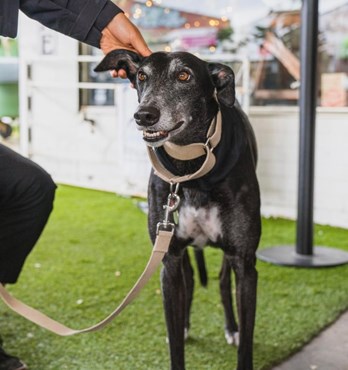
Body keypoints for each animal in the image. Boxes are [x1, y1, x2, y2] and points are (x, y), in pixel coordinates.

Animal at [96, 49, 260, 370]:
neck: (192, 169)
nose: (144, 115)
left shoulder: (246, 263)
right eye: (141, 76)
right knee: (191, 279)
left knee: (223, 281)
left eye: (184, 75)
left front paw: (239, 334)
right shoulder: (168, 259)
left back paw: (231, 328)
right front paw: (178, 331)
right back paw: (185, 325)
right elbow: (175, 345)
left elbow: (246, 346)